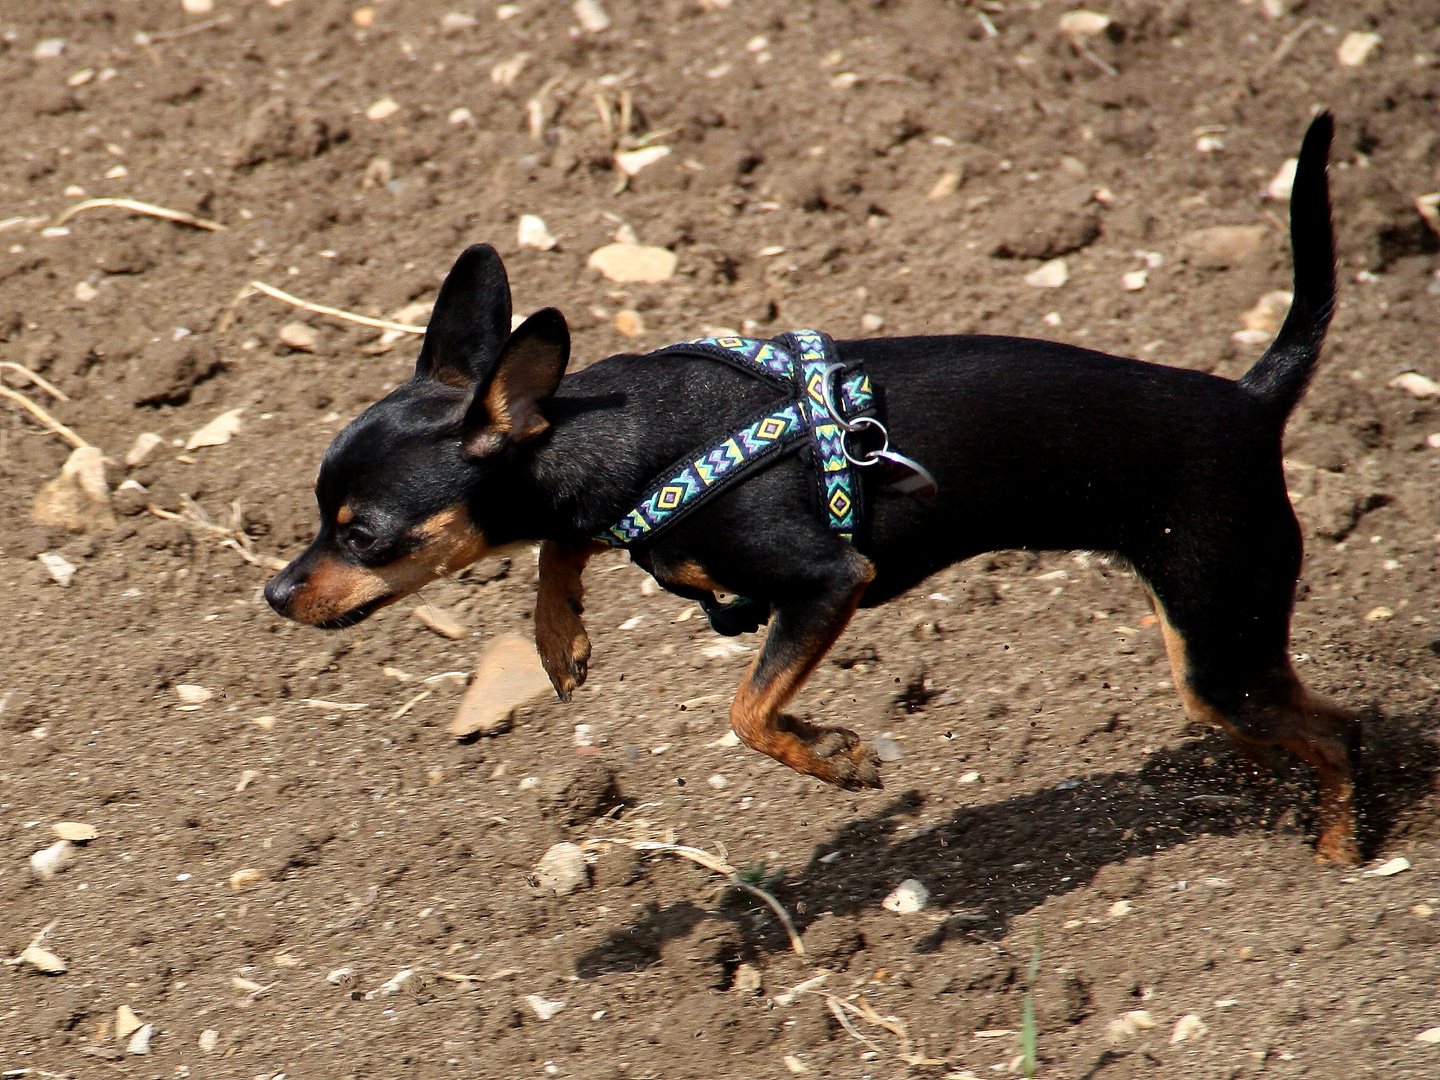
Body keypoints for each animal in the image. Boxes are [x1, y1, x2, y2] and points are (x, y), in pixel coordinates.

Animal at [270, 114, 1359, 869]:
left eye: (362, 535)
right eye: (321, 520)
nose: (275, 592)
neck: (640, 437)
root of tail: (1251, 402)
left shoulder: (828, 582)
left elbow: (746, 712)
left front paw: (834, 756)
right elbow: (565, 543)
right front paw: (558, 635)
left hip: (1216, 630)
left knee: (1337, 729)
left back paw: (1338, 855)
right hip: (1224, 652)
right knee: (1286, 722)